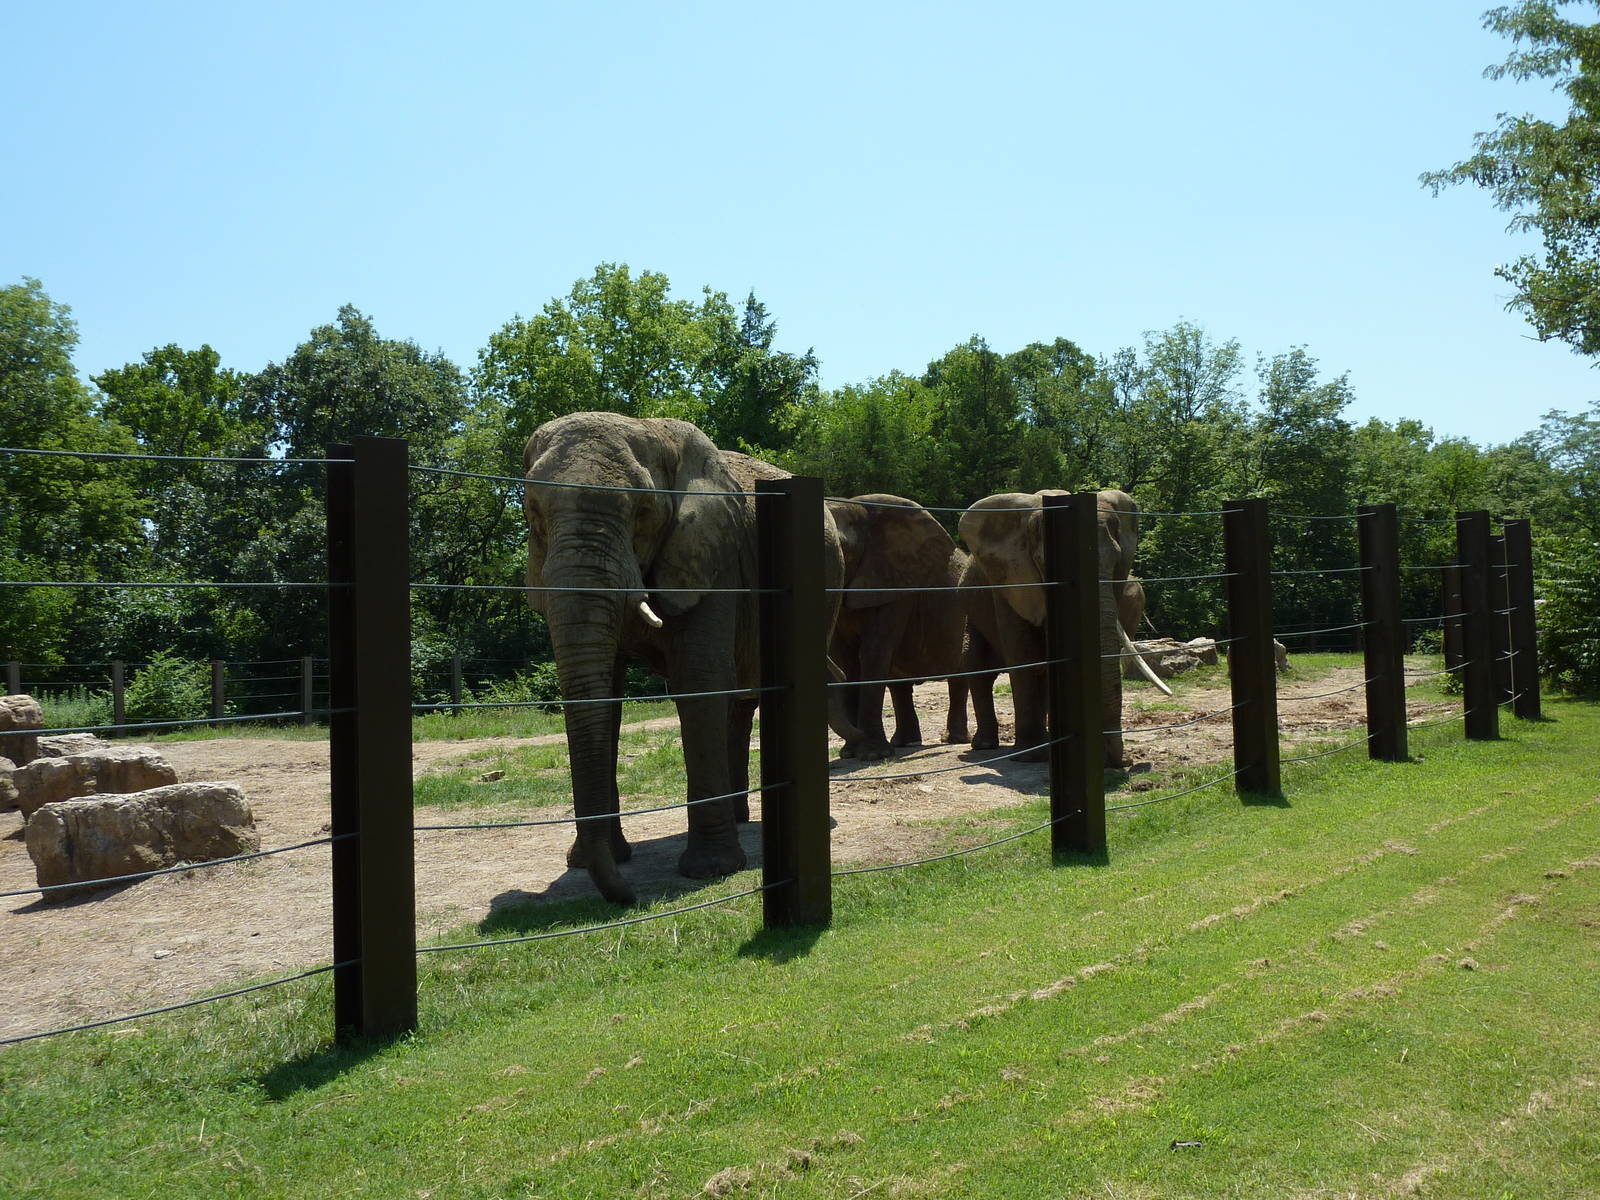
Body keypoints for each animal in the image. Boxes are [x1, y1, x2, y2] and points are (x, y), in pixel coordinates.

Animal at [522, 412, 860, 906]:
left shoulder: (715, 557)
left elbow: (699, 681)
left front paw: (710, 870)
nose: (628, 898)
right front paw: (590, 861)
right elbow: (608, 691)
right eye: (533, 512)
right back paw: (739, 815)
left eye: (642, 512)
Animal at [825, 494, 970, 760]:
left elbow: (873, 652)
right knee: (898, 681)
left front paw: (872, 755)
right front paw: (850, 754)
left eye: (845, 550)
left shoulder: (897, 587)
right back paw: (905, 743)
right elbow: (847, 660)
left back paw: (953, 739)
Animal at [958, 488, 1169, 767]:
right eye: (1050, 564)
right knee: (977, 665)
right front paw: (1031, 757)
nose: (1121, 762)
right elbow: (1023, 654)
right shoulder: (1008, 581)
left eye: (1116, 561)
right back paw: (985, 746)